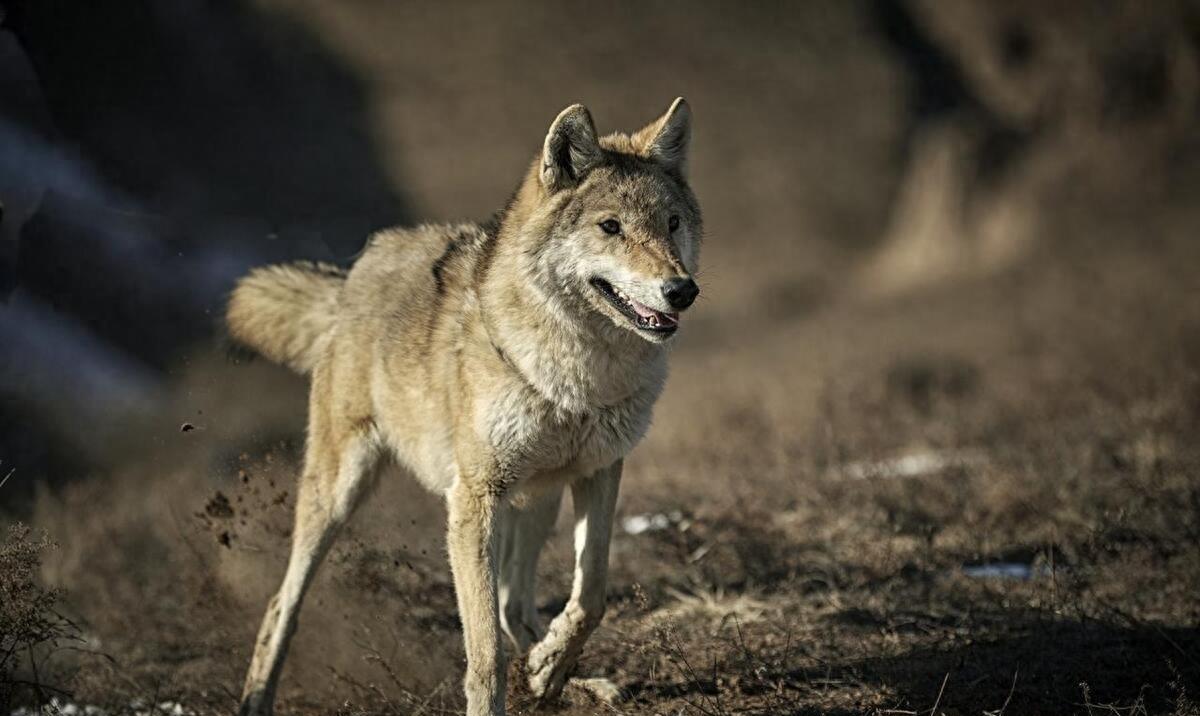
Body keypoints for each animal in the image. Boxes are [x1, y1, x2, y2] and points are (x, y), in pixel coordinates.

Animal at [225, 96, 700, 714]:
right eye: (610, 227)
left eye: (672, 223)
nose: (681, 290)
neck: (578, 376)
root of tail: (354, 273)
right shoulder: (474, 497)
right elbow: (483, 647)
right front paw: (499, 695)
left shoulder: (599, 472)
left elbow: (590, 594)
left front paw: (549, 670)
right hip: (339, 493)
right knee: (283, 602)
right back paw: (256, 697)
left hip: (537, 498)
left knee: (516, 606)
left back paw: (559, 679)